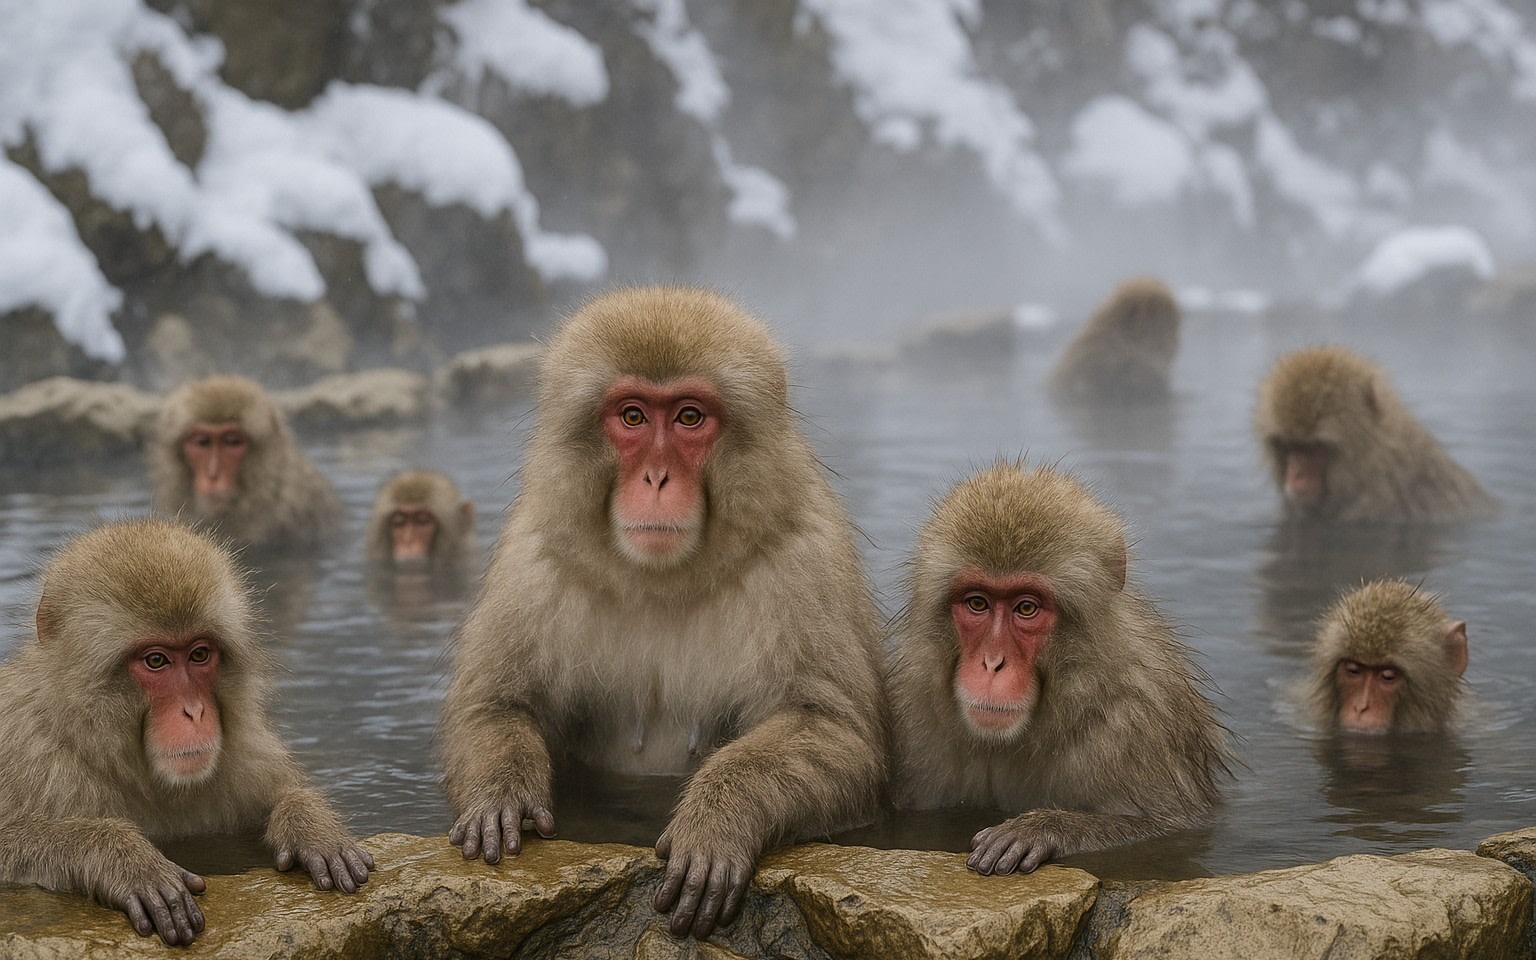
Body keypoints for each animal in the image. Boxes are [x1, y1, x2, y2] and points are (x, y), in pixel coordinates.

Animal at [0, 519, 373, 946]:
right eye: (156, 660)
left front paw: (308, 823)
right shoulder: (26, 749)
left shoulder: (247, 751)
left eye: (199, 654)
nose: (194, 712)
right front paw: (122, 857)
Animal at [438, 285, 886, 940]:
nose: (656, 477)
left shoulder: (806, 561)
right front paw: (501, 797)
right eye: (632, 417)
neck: (662, 582)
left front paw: (717, 820)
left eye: (688, 417)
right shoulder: (533, 561)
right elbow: (496, 704)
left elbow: (835, 731)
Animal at [886, 462, 1231, 876]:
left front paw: (1043, 828)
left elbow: (1168, 825)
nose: (992, 663)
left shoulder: (1140, 720)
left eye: (1026, 607)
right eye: (977, 603)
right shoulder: (913, 710)